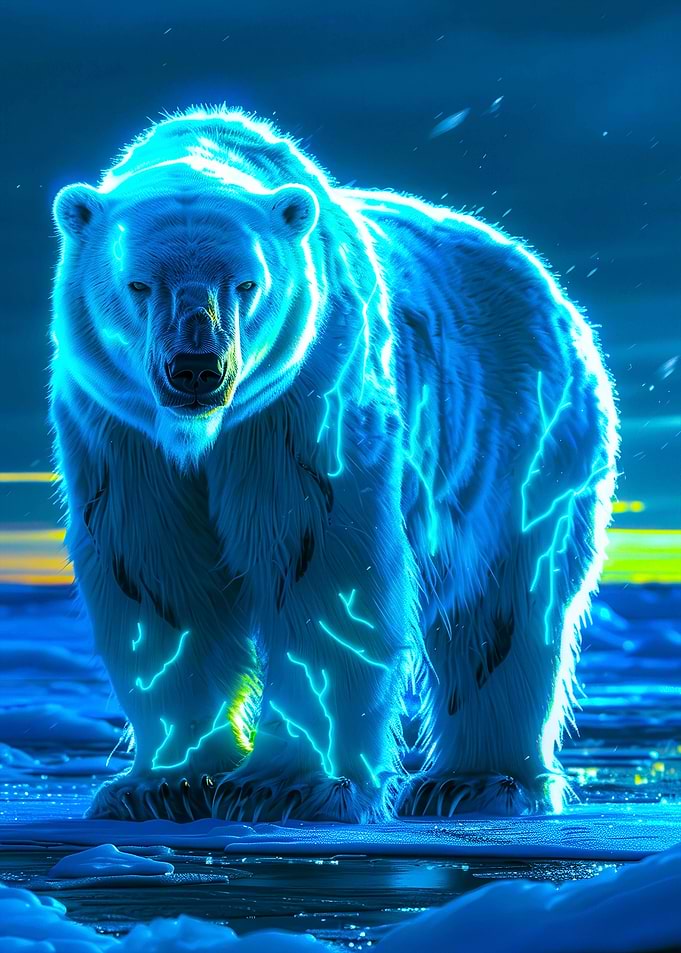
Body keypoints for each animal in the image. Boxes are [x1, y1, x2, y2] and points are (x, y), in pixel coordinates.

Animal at [50, 107, 618, 823]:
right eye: (138, 284)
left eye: (247, 284)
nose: (197, 370)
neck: (203, 433)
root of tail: (550, 285)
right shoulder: (120, 431)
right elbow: (159, 579)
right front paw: (165, 786)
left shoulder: (305, 401)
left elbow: (320, 568)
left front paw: (286, 787)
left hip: (525, 444)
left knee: (509, 611)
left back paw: (477, 781)